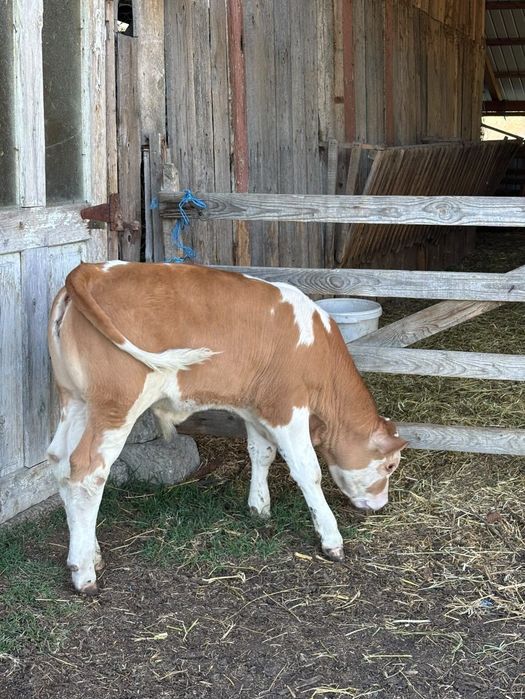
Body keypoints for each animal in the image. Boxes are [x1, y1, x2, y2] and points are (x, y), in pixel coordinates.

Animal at [47, 261, 407, 594]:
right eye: (390, 465)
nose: (381, 505)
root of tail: (91, 270)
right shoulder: (286, 406)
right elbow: (308, 471)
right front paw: (331, 539)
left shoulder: (256, 406)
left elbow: (261, 453)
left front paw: (259, 506)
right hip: (116, 406)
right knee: (88, 473)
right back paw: (83, 572)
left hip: (75, 400)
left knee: (60, 463)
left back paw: (89, 552)